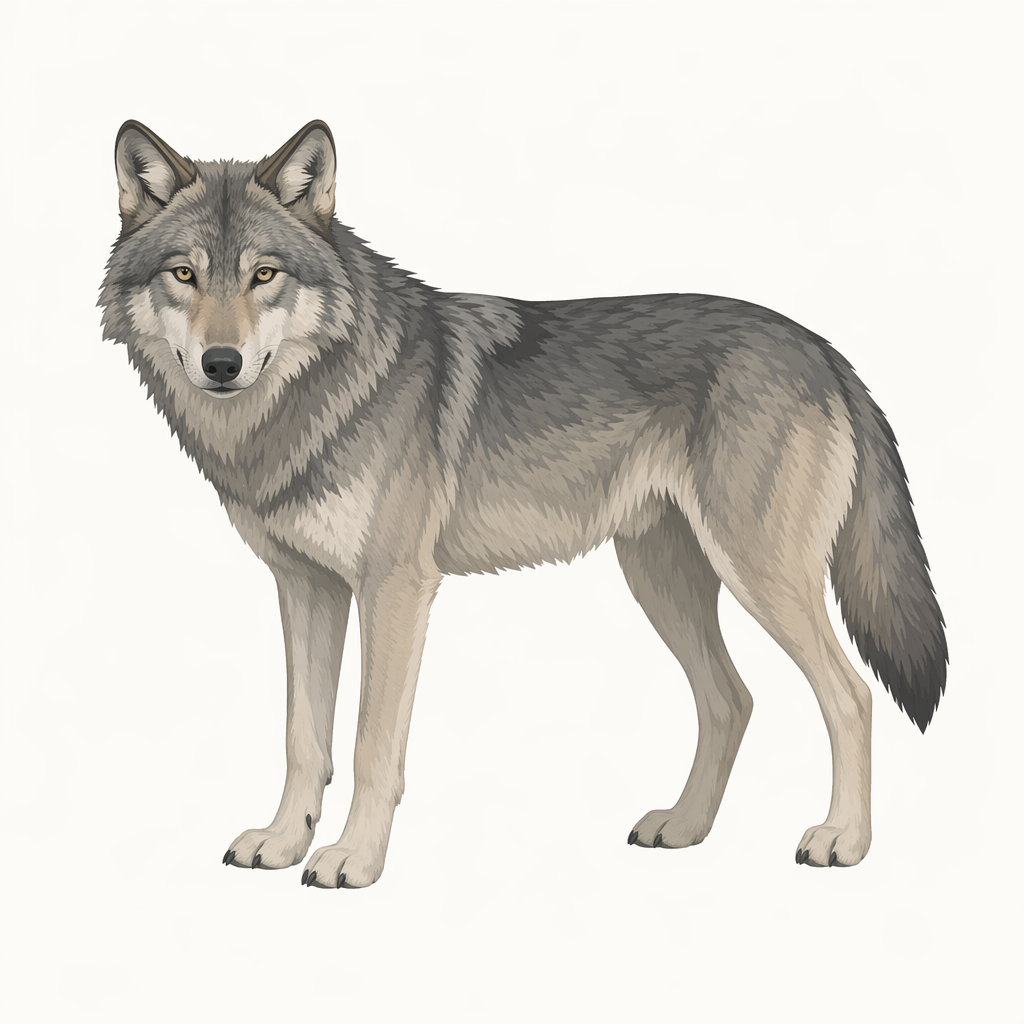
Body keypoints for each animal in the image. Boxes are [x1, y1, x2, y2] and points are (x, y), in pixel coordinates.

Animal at [100, 120, 946, 888]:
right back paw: (684, 827)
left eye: (265, 274)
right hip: (661, 580)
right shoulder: (306, 589)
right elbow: (304, 739)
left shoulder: (394, 588)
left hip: (757, 577)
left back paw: (843, 841)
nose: (221, 362)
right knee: (730, 700)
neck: (305, 404)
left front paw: (353, 860)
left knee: (851, 696)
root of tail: (823, 349)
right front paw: (282, 843)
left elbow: (372, 744)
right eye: (185, 274)